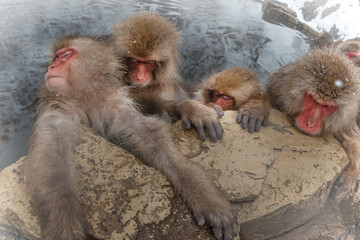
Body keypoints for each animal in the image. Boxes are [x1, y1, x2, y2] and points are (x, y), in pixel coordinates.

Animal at [21, 34, 236, 239]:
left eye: (65, 56)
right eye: (55, 58)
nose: (51, 67)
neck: (85, 98)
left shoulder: (117, 106)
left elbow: (155, 142)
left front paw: (206, 200)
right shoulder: (56, 113)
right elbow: (53, 164)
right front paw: (64, 227)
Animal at [111, 13, 224, 142]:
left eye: (150, 62)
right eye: (135, 61)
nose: (140, 77)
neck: (144, 87)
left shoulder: (167, 85)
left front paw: (193, 109)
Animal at [266, 48, 360, 199]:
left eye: (327, 106)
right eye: (313, 100)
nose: (310, 123)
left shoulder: (347, 119)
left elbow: (352, 138)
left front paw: (352, 171)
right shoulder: (277, 88)